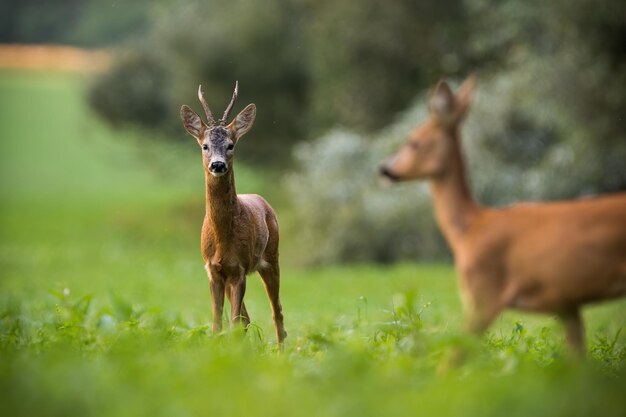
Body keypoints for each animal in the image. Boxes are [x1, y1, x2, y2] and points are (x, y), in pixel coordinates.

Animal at [179, 82, 286, 344]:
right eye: (204, 146)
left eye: (231, 145)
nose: (217, 164)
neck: (222, 239)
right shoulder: (214, 270)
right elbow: (218, 323)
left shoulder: (239, 269)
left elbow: (234, 321)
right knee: (247, 318)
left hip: (272, 257)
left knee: (276, 311)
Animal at [378, 76, 624, 352]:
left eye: (413, 141)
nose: (384, 169)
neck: (471, 227)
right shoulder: (566, 301)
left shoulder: (484, 291)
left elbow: (453, 355)